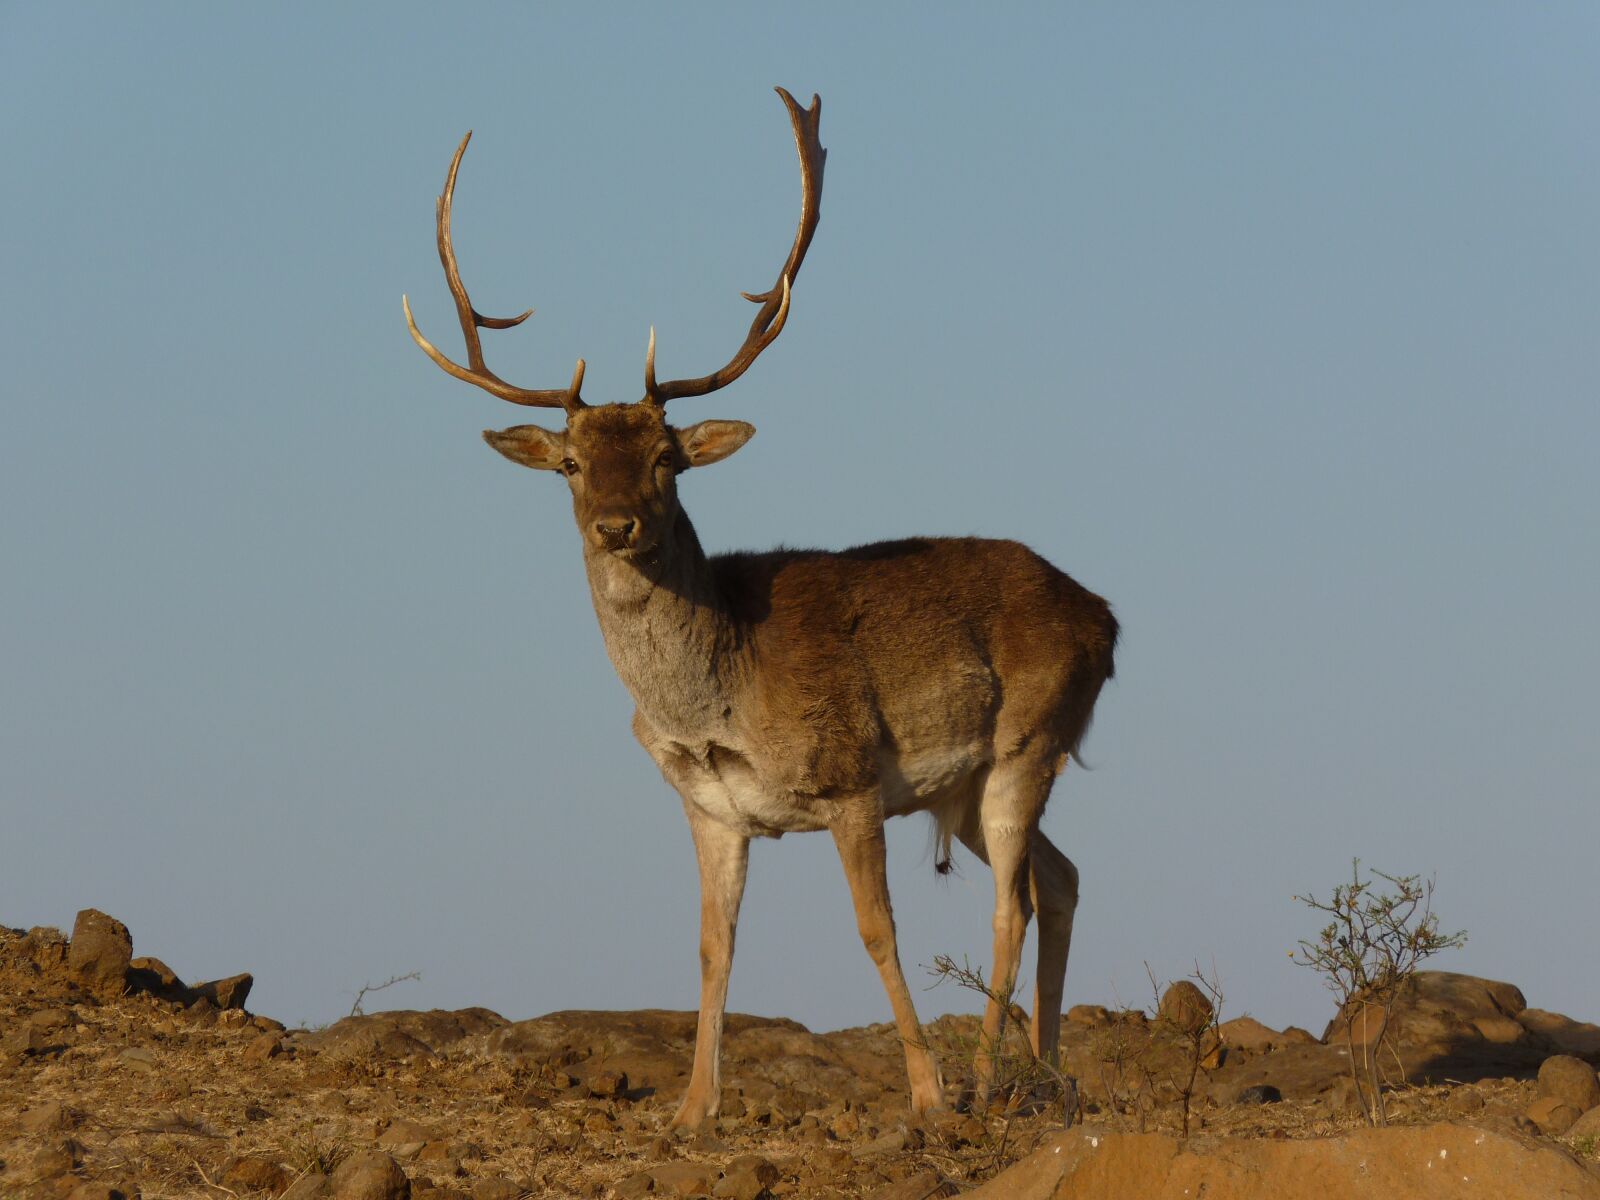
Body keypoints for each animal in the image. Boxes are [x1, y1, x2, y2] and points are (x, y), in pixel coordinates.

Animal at [406, 86, 1120, 1126]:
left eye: (667, 457)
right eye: (571, 462)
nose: (617, 525)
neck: (714, 699)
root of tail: (1108, 621)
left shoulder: (852, 777)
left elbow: (876, 931)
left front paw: (925, 1095)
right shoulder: (710, 807)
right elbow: (714, 946)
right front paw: (692, 1108)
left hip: (1024, 743)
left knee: (1014, 902)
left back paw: (990, 1079)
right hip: (961, 784)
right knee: (1061, 880)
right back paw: (1049, 1071)